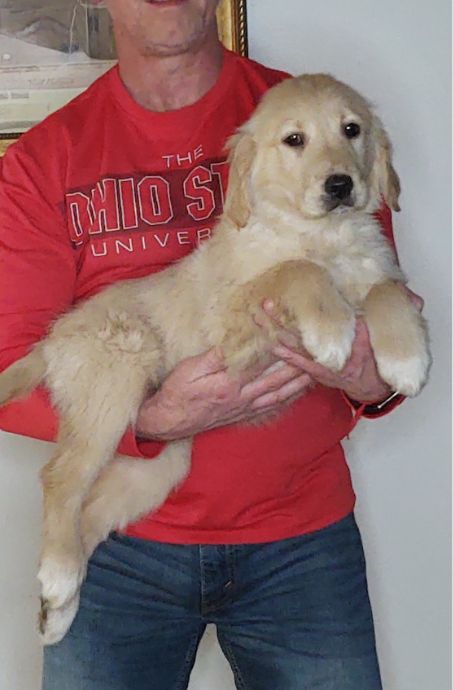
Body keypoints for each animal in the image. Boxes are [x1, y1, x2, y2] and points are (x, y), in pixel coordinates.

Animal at [0, 72, 430, 644]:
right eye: (294, 140)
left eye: (352, 129)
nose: (340, 186)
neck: (322, 236)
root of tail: (52, 339)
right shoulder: (232, 321)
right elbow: (296, 272)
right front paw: (332, 328)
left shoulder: (375, 273)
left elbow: (388, 291)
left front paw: (406, 357)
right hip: (118, 376)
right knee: (61, 477)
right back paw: (57, 574)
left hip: (160, 466)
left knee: (91, 509)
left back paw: (59, 607)